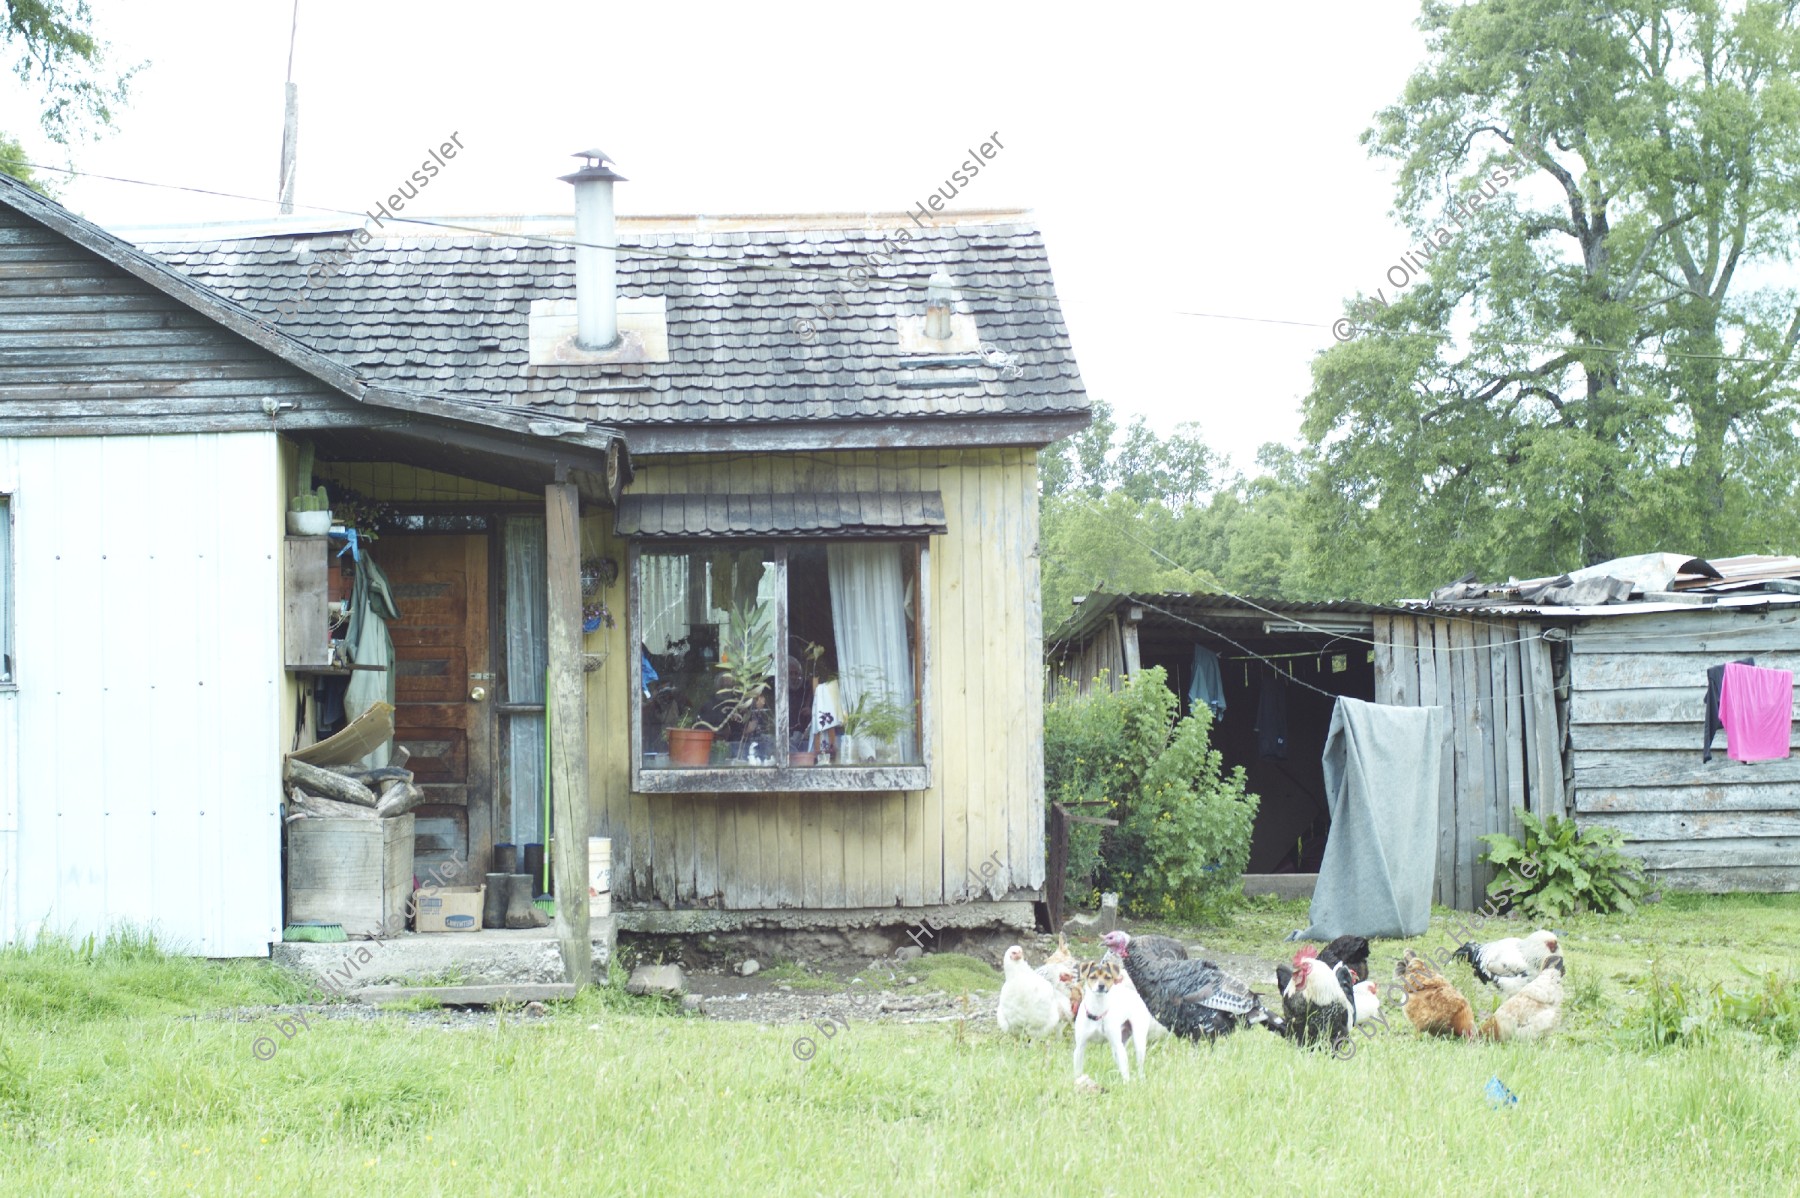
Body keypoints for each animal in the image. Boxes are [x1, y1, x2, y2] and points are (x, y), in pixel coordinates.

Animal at [1072, 949, 1144, 1079]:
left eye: (1108, 977)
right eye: (1093, 977)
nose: (1101, 986)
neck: (1097, 1010)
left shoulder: (1118, 1046)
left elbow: (1125, 1073)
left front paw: (1127, 1083)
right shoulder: (1080, 1047)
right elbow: (1078, 1071)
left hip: (1138, 1041)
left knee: (1140, 1067)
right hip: (1119, 1045)